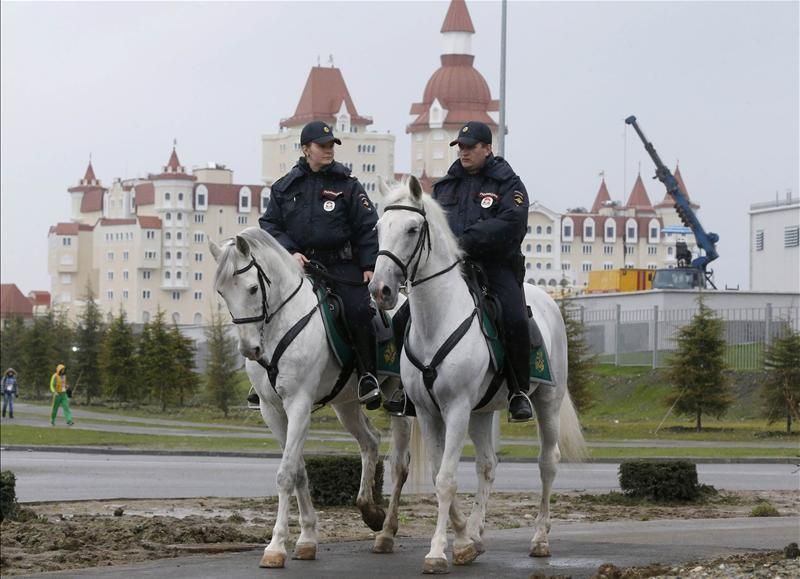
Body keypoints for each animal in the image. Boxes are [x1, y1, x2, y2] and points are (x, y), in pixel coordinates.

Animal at [211, 229, 412, 568]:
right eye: (222, 292)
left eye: (252, 288)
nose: (250, 349)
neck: (279, 326)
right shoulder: (272, 411)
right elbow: (300, 471)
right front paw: (306, 539)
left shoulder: (299, 405)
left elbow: (286, 474)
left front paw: (276, 547)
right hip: (346, 404)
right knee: (370, 441)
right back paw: (369, 511)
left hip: (399, 401)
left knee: (399, 464)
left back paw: (386, 531)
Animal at [368, 178, 588, 576]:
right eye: (378, 228)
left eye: (412, 229)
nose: (381, 290)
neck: (437, 318)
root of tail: (548, 299)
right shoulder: (428, 412)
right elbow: (440, 473)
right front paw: (462, 540)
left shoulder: (455, 409)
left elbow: (446, 479)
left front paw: (438, 552)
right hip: (482, 413)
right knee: (488, 464)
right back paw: (476, 533)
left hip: (546, 402)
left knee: (548, 462)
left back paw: (540, 539)